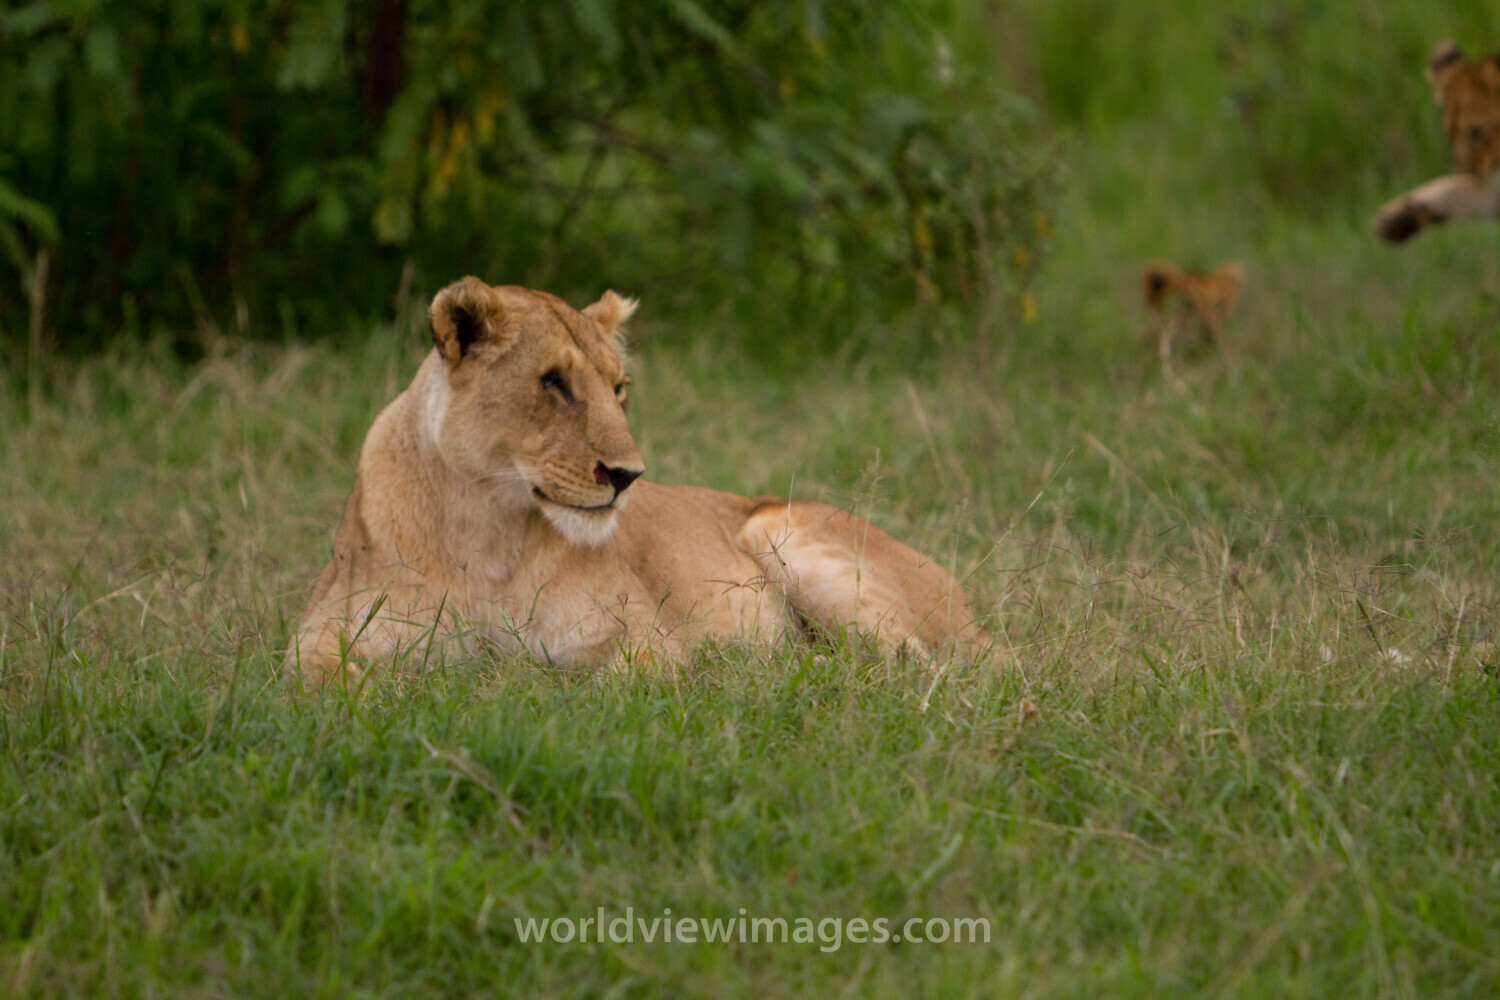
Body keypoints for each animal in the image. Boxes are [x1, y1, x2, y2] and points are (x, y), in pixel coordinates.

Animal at [288, 277, 987, 681]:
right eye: (554, 383)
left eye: (618, 388)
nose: (627, 476)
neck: (486, 528)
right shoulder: (317, 635)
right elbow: (326, 679)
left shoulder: (647, 642)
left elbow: (597, 681)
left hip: (782, 533)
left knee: (928, 664)